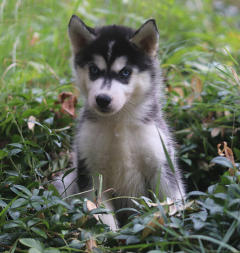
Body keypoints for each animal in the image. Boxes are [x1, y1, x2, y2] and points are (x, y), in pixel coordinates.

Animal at [57, 14, 185, 230]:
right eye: (94, 70)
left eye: (125, 72)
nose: (102, 99)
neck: (118, 124)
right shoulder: (91, 172)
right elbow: (102, 214)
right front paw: (108, 234)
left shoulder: (161, 164)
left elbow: (172, 199)